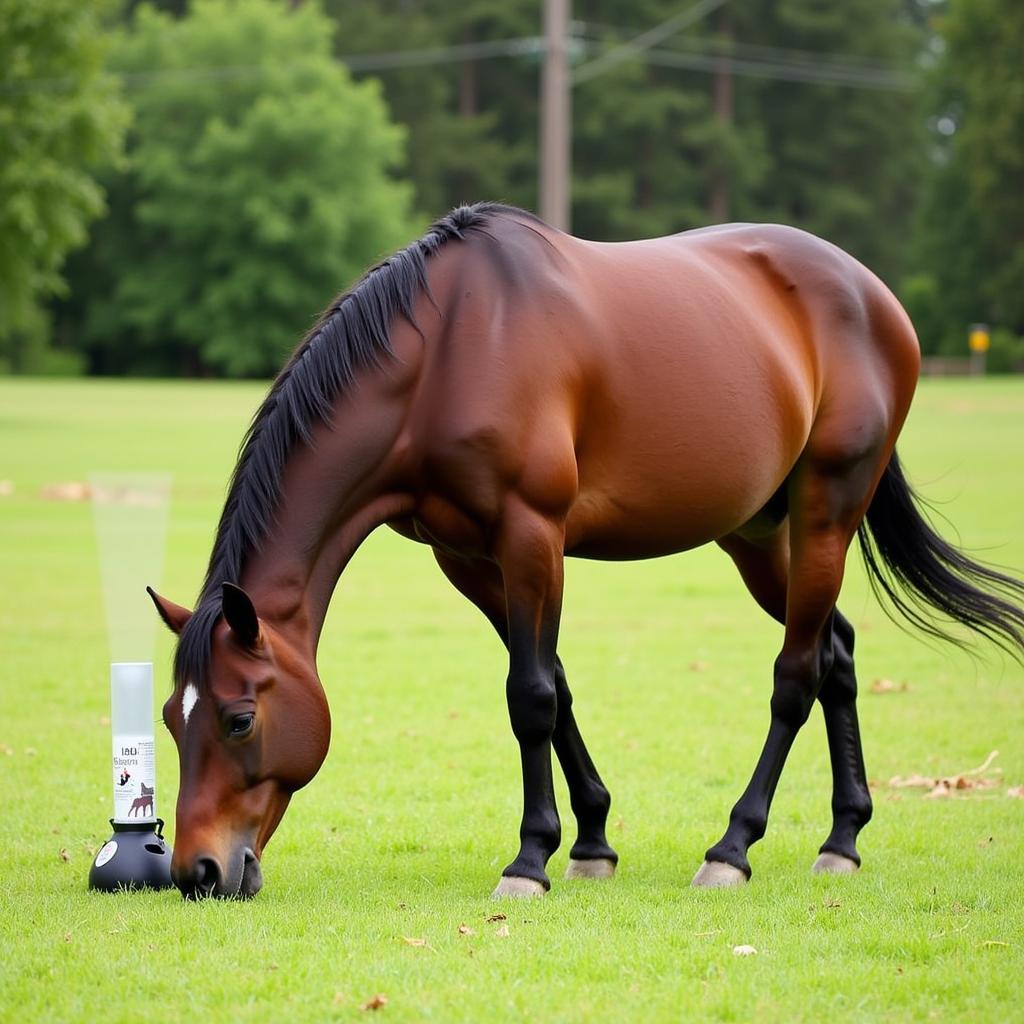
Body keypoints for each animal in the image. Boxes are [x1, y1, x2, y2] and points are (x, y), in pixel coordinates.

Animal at [146, 199, 1024, 897]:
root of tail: (871, 294)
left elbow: (530, 695)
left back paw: (733, 847)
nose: (197, 871)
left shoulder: (531, 532)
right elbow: (556, 686)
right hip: (758, 535)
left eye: (237, 719)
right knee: (837, 651)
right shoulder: (470, 560)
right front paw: (593, 842)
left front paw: (531, 859)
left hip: (827, 513)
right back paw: (843, 837)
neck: (448, 352)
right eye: (167, 719)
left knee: (796, 675)